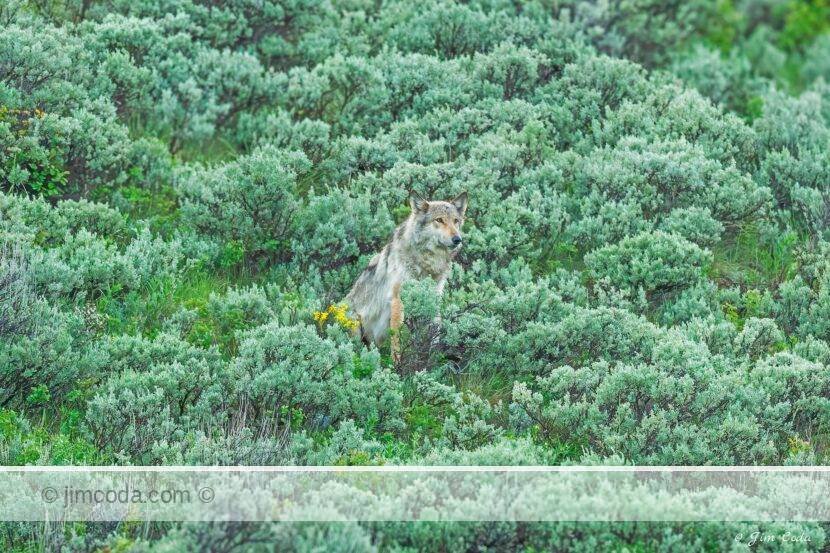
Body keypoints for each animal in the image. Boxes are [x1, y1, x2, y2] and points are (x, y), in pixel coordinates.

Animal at [344, 190, 468, 359]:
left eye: (456, 221)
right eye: (439, 220)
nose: (457, 239)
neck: (426, 263)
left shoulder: (434, 297)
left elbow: (435, 330)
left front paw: (434, 358)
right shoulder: (398, 301)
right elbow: (397, 340)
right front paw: (397, 364)